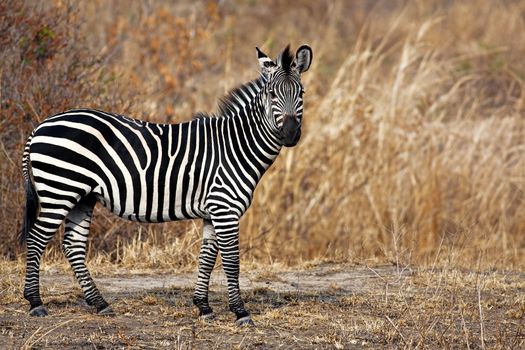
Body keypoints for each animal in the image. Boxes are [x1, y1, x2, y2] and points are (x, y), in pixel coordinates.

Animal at [20, 43, 314, 326]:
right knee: (36, 239)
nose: (290, 134)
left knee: (73, 246)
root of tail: (39, 127)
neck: (236, 146)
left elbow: (207, 258)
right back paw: (35, 302)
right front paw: (240, 312)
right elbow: (232, 262)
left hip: (82, 196)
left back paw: (100, 303)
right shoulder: (225, 209)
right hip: (60, 190)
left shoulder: (213, 211)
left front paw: (203, 307)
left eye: (301, 93)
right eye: (272, 95)